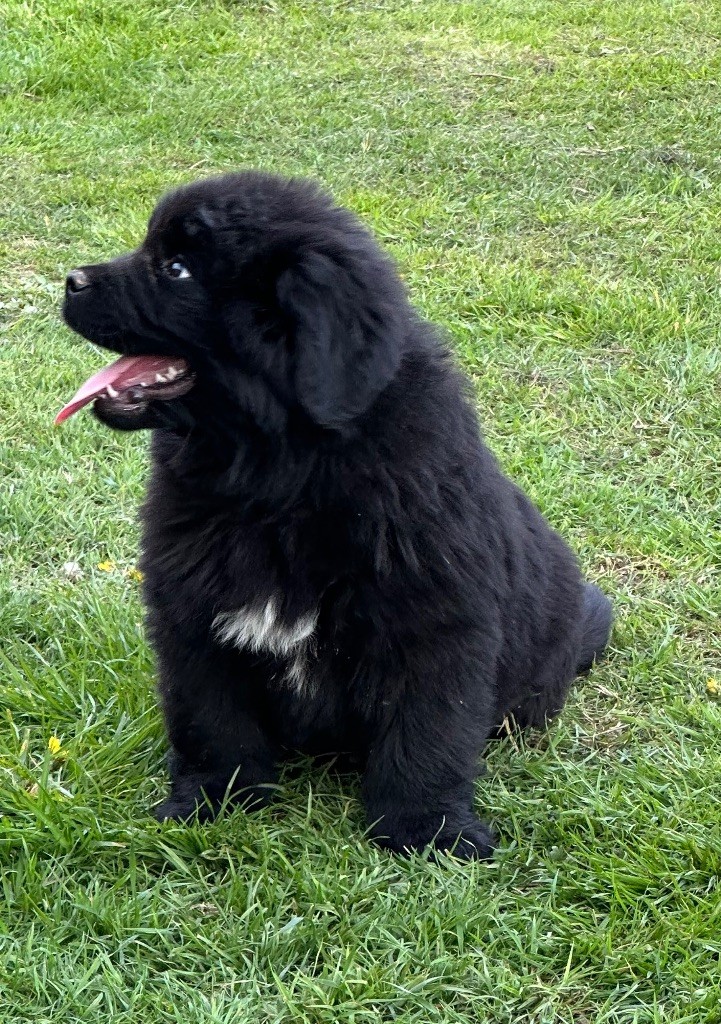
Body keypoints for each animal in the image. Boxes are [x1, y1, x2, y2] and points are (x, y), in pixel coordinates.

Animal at [61, 172, 610, 860]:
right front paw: (212, 803)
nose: (70, 281)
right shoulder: (193, 615)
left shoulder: (435, 626)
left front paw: (426, 833)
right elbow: (211, 721)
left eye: (177, 269)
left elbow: (428, 737)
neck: (283, 480)